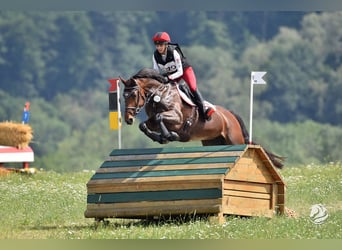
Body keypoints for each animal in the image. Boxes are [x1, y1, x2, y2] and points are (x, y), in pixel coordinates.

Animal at [119, 67, 284, 169]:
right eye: (123, 96)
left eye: (133, 94)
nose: (128, 119)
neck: (160, 94)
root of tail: (231, 115)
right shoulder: (152, 121)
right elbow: (144, 125)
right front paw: (160, 138)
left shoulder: (177, 119)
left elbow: (160, 117)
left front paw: (169, 136)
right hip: (213, 142)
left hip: (234, 140)